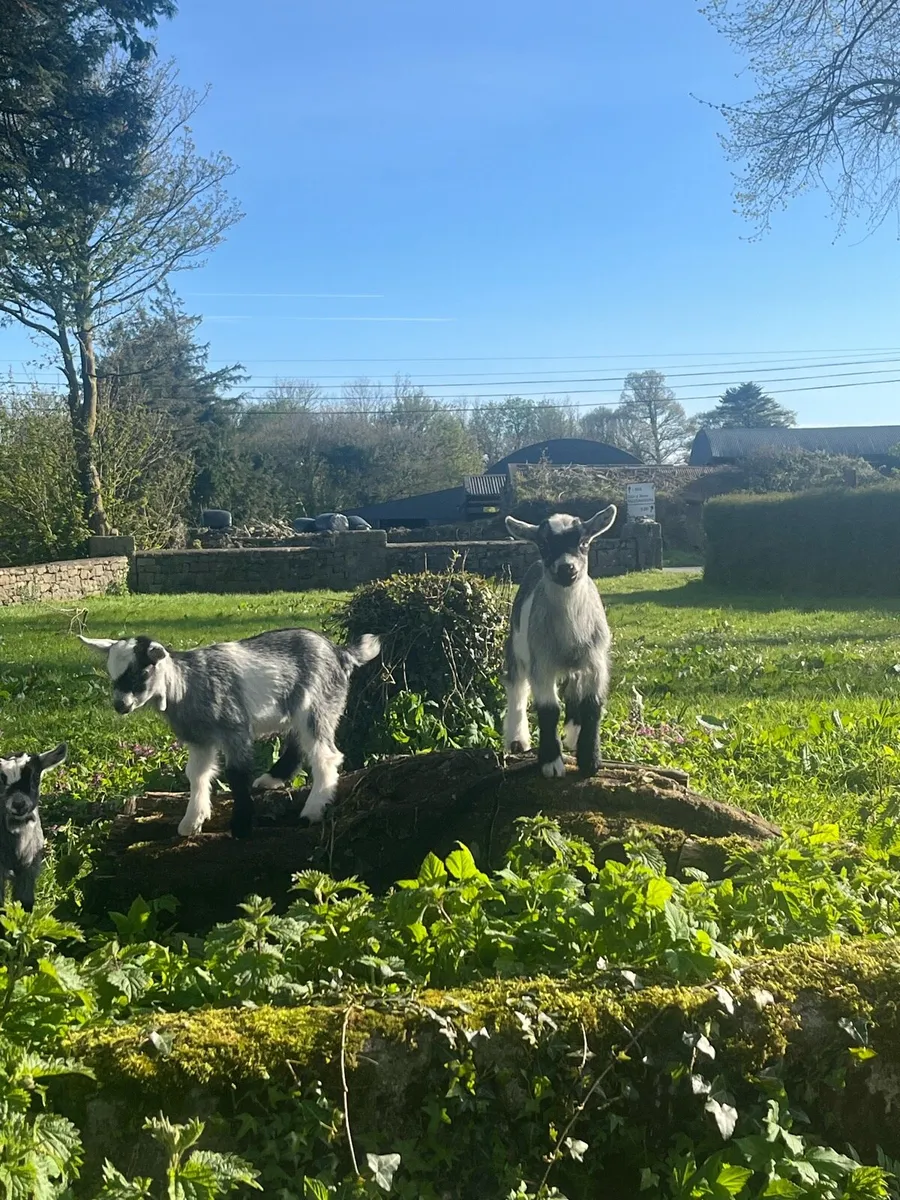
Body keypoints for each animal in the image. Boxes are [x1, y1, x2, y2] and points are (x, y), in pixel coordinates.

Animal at [79, 629, 381, 839]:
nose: (120, 705)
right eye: (113, 675)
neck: (186, 684)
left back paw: (313, 809)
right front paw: (192, 821)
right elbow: (196, 775)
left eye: (140, 673)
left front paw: (241, 826)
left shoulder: (234, 729)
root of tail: (340, 652)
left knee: (325, 754)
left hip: (318, 704)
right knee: (299, 744)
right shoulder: (200, 740)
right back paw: (272, 779)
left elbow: (236, 774)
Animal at [503, 507, 617, 778]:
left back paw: (573, 734)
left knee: (574, 689)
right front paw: (551, 762)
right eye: (544, 545)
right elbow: (548, 709)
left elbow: (593, 705)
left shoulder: (596, 662)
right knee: (516, 687)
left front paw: (590, 760)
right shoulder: (541, 664)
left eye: (584, 543)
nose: (567, 569)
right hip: (515, 647)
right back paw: (517, 739)